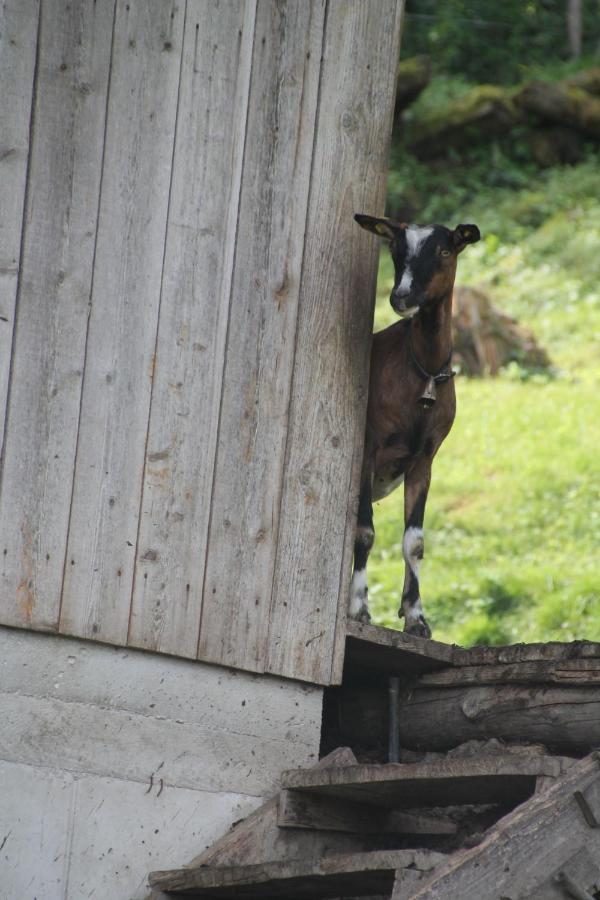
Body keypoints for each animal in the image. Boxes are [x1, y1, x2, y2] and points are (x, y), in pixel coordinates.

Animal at [350, 214, 480, 636]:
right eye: (395, 248)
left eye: (444, 249)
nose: (401, 296)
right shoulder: (370, 446)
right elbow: (365, 532)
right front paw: (359, 610)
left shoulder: (424, 458)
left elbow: (415, 541)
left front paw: (416, 617)